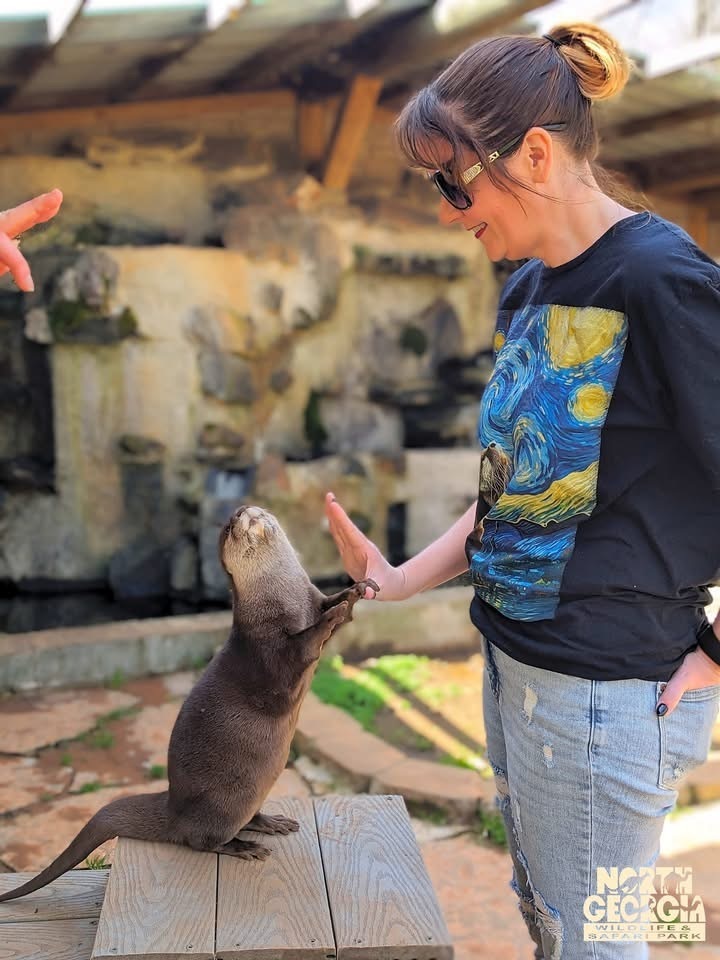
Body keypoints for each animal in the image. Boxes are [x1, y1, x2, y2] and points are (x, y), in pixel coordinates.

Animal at [0, 504, 378, 903]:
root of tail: (173, 810)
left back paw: (271, 823)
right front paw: (331, 618)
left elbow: (330, 603)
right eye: (228, 528)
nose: (242, 510)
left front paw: (353, 592)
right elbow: (301, 649)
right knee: (201, 841)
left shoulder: (310, 598)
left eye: (243, 511)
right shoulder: (266, 651)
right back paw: (244, 847)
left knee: (245, 819)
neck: (284, 601)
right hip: (223, 807)